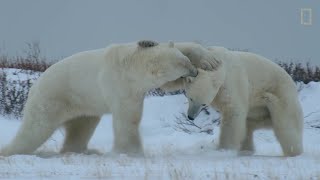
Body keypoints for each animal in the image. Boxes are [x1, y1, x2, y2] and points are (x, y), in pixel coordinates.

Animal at [0, 40, 199, 156]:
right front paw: (131, 152)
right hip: (52, 98)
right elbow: (128, 118)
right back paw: (9, 151)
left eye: (187, 60)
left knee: (81, 127)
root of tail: (34, 87)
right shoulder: (120, 86)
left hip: (83, 105)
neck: (133, 65)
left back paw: (83, 151)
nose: (195, 72)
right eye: (184, 63)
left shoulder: (134, 85)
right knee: (35, 129)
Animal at [165, 45, 302, 157]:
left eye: (203, 104)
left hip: (282, 97)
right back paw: (246, 150)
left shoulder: (231, 82)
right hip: (257, 111)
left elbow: (233, 111)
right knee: (249, 125)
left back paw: (293, 151)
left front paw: (224, 149)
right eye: (190, 98)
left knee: (286, 125)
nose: (191, 117)